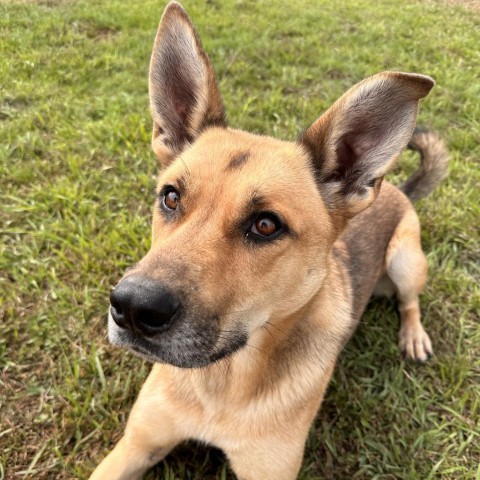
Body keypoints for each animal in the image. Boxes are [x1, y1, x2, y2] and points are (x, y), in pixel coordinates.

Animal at [89, 1, 446, 478]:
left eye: (265, 225)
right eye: (170, 197)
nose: (131, 307)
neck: (222, 383)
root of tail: (394, 189)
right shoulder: (134, 446)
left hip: (406, 260)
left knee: (410, 301)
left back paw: (413, 335)